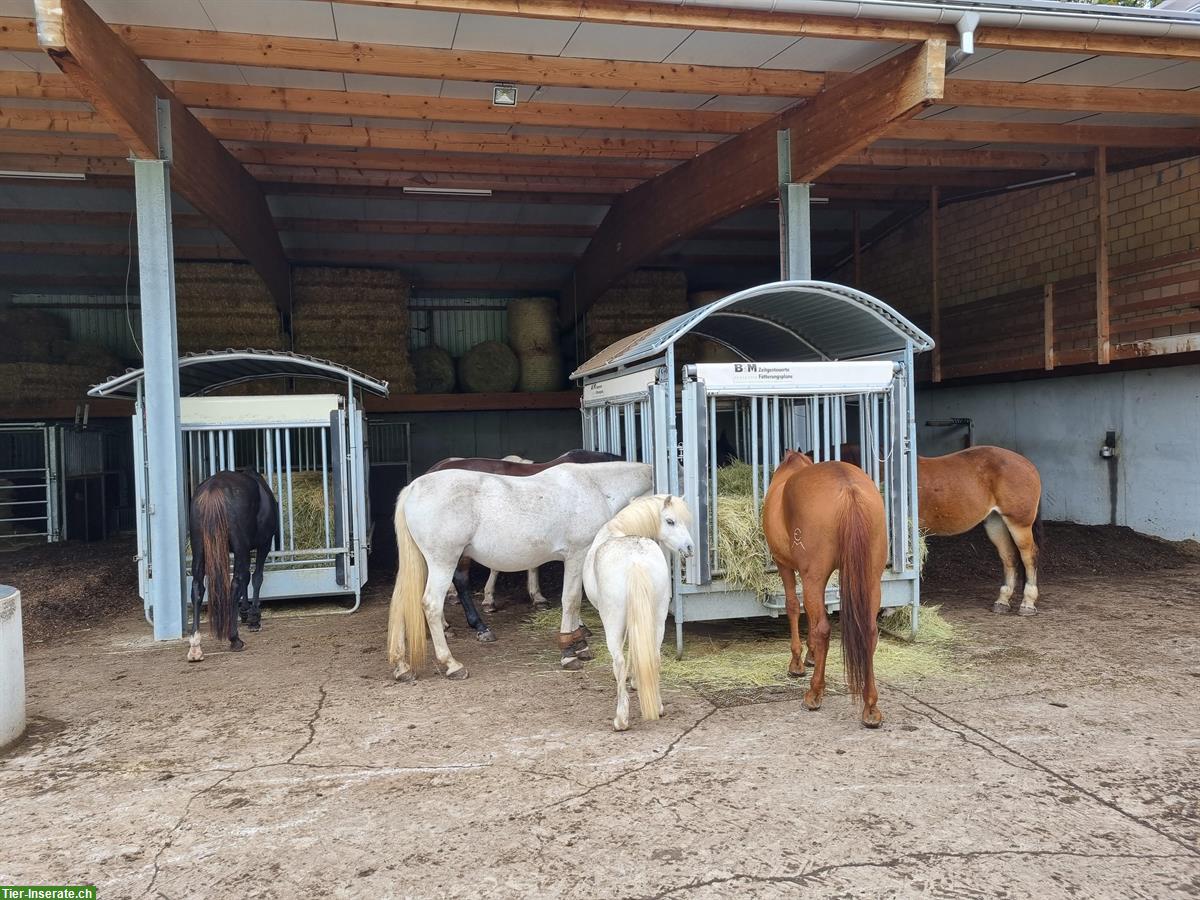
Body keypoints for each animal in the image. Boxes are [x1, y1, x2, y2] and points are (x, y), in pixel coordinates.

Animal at [184, 468, 278, 667]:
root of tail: (213, 490)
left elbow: (246, 578)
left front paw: (245, 612)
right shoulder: (263, 545)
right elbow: (256, 577)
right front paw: (253, 618)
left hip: (199, 548)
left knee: (197, 587)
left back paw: (195, 646)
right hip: (242, 546)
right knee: (235, 583)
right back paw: (235, 639)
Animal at [386, 460, 652, 681]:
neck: (596, 486)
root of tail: (413, 488)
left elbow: (574, 600)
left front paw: (580, 644)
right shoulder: (577, 554)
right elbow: (571, 600)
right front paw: (569, 652)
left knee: (401, 604)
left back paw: (402, 667)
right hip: (443, 562)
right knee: (431, 604)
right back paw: (452, 664)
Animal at [580, 496, 696, 734]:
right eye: (670, 521)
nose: (689, 548)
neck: (619, 528)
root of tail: (635, 561)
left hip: (612, 624)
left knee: (619, 660)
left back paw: (621, 719)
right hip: (658, 617)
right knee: (654, 655)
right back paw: (658, 706)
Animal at [758, 453, 892, 729]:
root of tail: (848, 489)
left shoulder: (785, 565)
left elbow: (793, 607)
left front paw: (798, 663)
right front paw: (811, 656)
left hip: (813, 575)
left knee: (822, 629)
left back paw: (813, 694)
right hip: (871, 578)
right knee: (869, 631)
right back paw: (870, 707)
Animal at [916, 448, 1041, 619]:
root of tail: (1029, 465)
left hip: (1019, 524)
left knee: (1029, 557)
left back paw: (1027, 604)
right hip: (995, 523)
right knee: (1009, 556)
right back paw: (1002, 602)